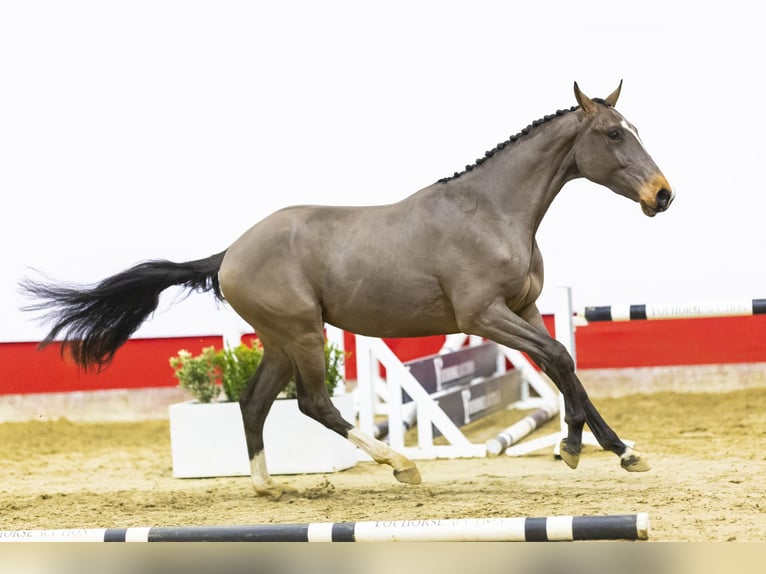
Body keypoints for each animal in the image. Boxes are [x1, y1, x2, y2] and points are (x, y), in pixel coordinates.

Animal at [22, 82, 672, 500]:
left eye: (635, 130)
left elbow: (562, 366)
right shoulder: (483, 316)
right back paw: (401, 465)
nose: (663, 194)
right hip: (305, 335)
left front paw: (605, 449)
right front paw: (587, 447)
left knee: (254, 402)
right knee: (314, 404)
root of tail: (229, 253)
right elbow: (560, 357)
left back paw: (267, 487)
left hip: (281, 342)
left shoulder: (524, 309)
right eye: (613, 134)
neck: (491, 211)